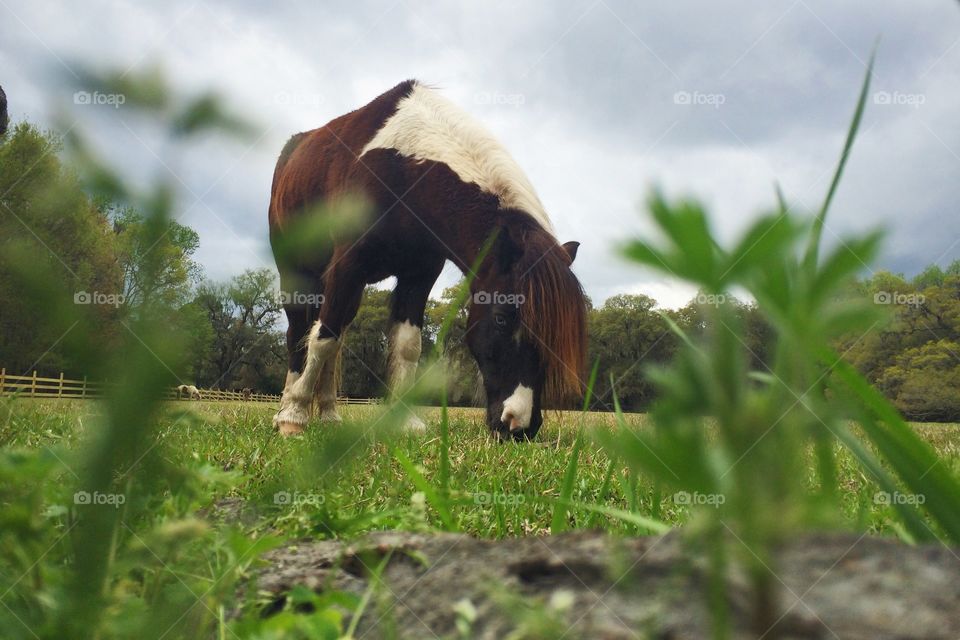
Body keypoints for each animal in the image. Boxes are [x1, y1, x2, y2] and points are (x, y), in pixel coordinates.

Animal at [266, 79, 588, 440]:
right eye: (503, 318)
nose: (521, 427)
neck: (404, 172)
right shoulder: (348, 266)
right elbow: (322, 339)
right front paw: (294, 417)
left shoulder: (419, 275)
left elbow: (406, 345)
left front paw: (405, 421)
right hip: (297, 275)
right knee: (301, 333)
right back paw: (289, 409)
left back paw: (329, 414)